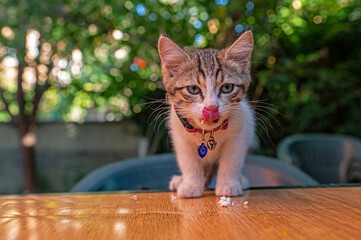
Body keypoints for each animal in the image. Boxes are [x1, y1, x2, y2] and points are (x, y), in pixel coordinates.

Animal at [157, 30, 253, 199]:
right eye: (193, 89)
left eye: (227, 87)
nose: (211, 108)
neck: (208, 132)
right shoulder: (180, 135)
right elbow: (188, 161)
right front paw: (191, 184)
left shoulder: (240, 133)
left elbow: (232, 159)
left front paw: (228, 184)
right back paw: (180, 180)